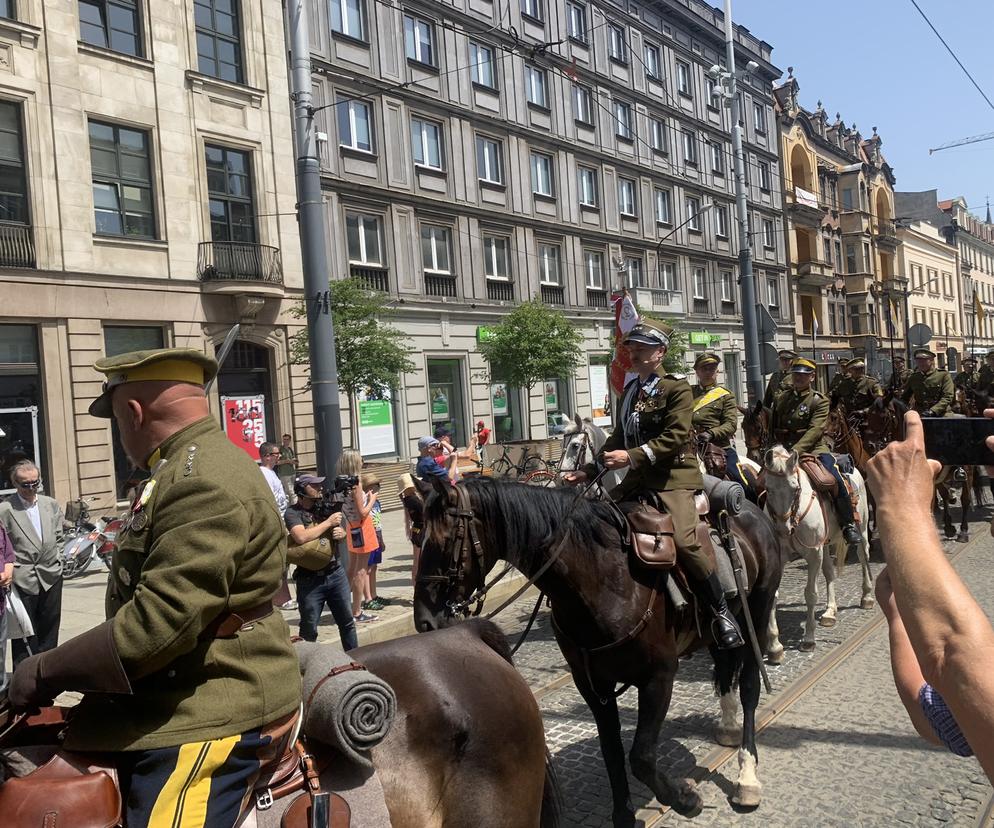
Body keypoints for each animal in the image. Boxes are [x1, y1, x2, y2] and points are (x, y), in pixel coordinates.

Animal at [410, 476, 784, 824]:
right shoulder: (592, 685)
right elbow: (612, 752)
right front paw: (624, 816)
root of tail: (751, 509)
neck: (603, 579)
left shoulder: (659, 676)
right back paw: (728, 726)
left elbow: (641, 756)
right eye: (417, 538)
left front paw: (684, 798)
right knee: (725, 665)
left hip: (757, 614)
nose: (424, 621)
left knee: (749, 685)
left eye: (443, 541)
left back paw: (747, 777)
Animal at [760, 446, 868, 652]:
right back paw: (830, 611)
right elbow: (773, 596)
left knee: (863, 556)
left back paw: (867, 597)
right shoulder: (782, 558)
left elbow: (810, 594)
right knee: (829, 572)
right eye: (768, 489)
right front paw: (775, 645)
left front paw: (809, 638)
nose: (783, 530)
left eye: (795, 488)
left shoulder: (812, 554)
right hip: (824, 546)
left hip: (862, 530)